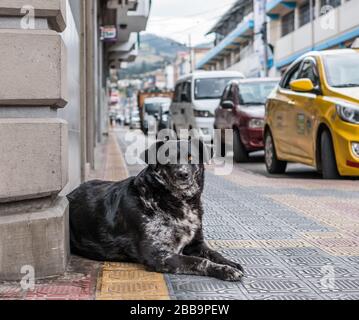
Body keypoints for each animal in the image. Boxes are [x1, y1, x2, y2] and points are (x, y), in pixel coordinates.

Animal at [67, 140, 245, 280]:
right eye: (168, 158)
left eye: (190, 157)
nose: (183, 174)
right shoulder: (158, 254)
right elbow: (198, 261)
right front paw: (225, 270)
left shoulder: (196, 244)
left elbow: (214, 253)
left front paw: (230, 263)